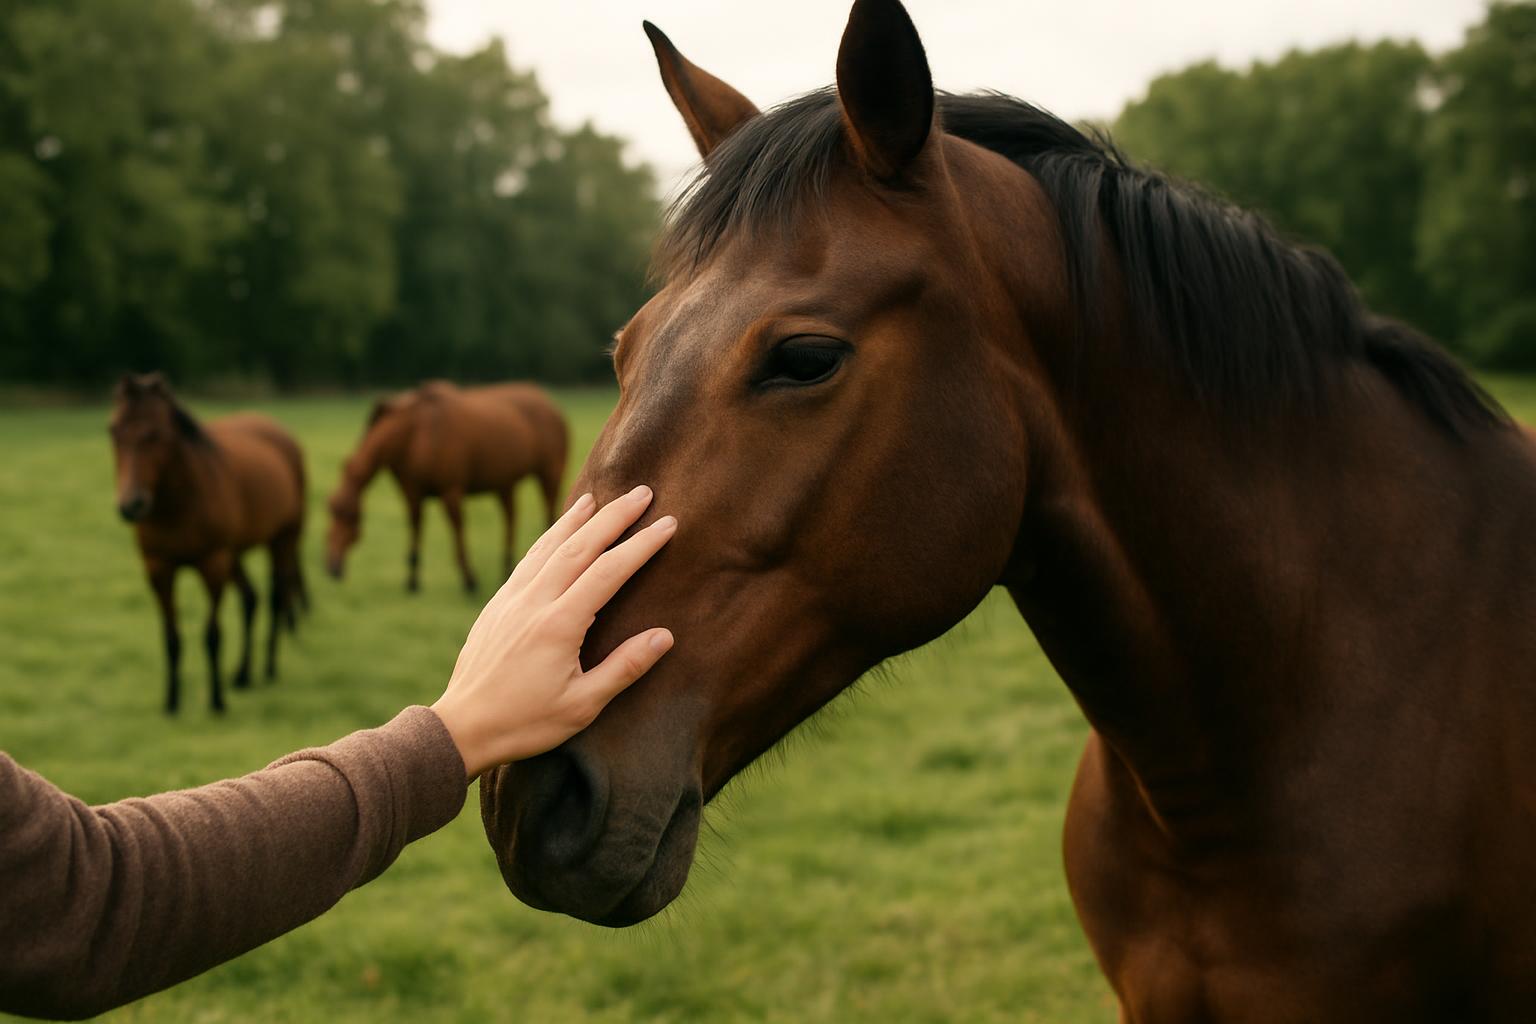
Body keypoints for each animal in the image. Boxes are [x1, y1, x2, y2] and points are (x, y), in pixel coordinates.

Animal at [110, 373, 308, 714]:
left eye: (155, 434)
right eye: (113, 431)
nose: (131, 505)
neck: (178, 505)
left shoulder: (213, 564)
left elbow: (212, 635)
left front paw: (217, 701)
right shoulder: (158, 568)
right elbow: (171, 637)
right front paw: (172, 702)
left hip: (282, 538)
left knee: (276, 596)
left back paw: (268, 668)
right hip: (235, 554)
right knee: (250, 598)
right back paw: (243, 674)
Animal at [324, 380, 569, 593]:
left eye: (347, 515)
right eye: (332, 511)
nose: (331, 567)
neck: (415, 436)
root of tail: (549, 404)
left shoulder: (451, 492)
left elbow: (457, 532)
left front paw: (469, 580)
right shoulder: (413, 495)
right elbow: (416, 531)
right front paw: (412, 582)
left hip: (550, 475)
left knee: (548, 515)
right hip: (504, 485)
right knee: (511, 518)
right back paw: (508, 568)